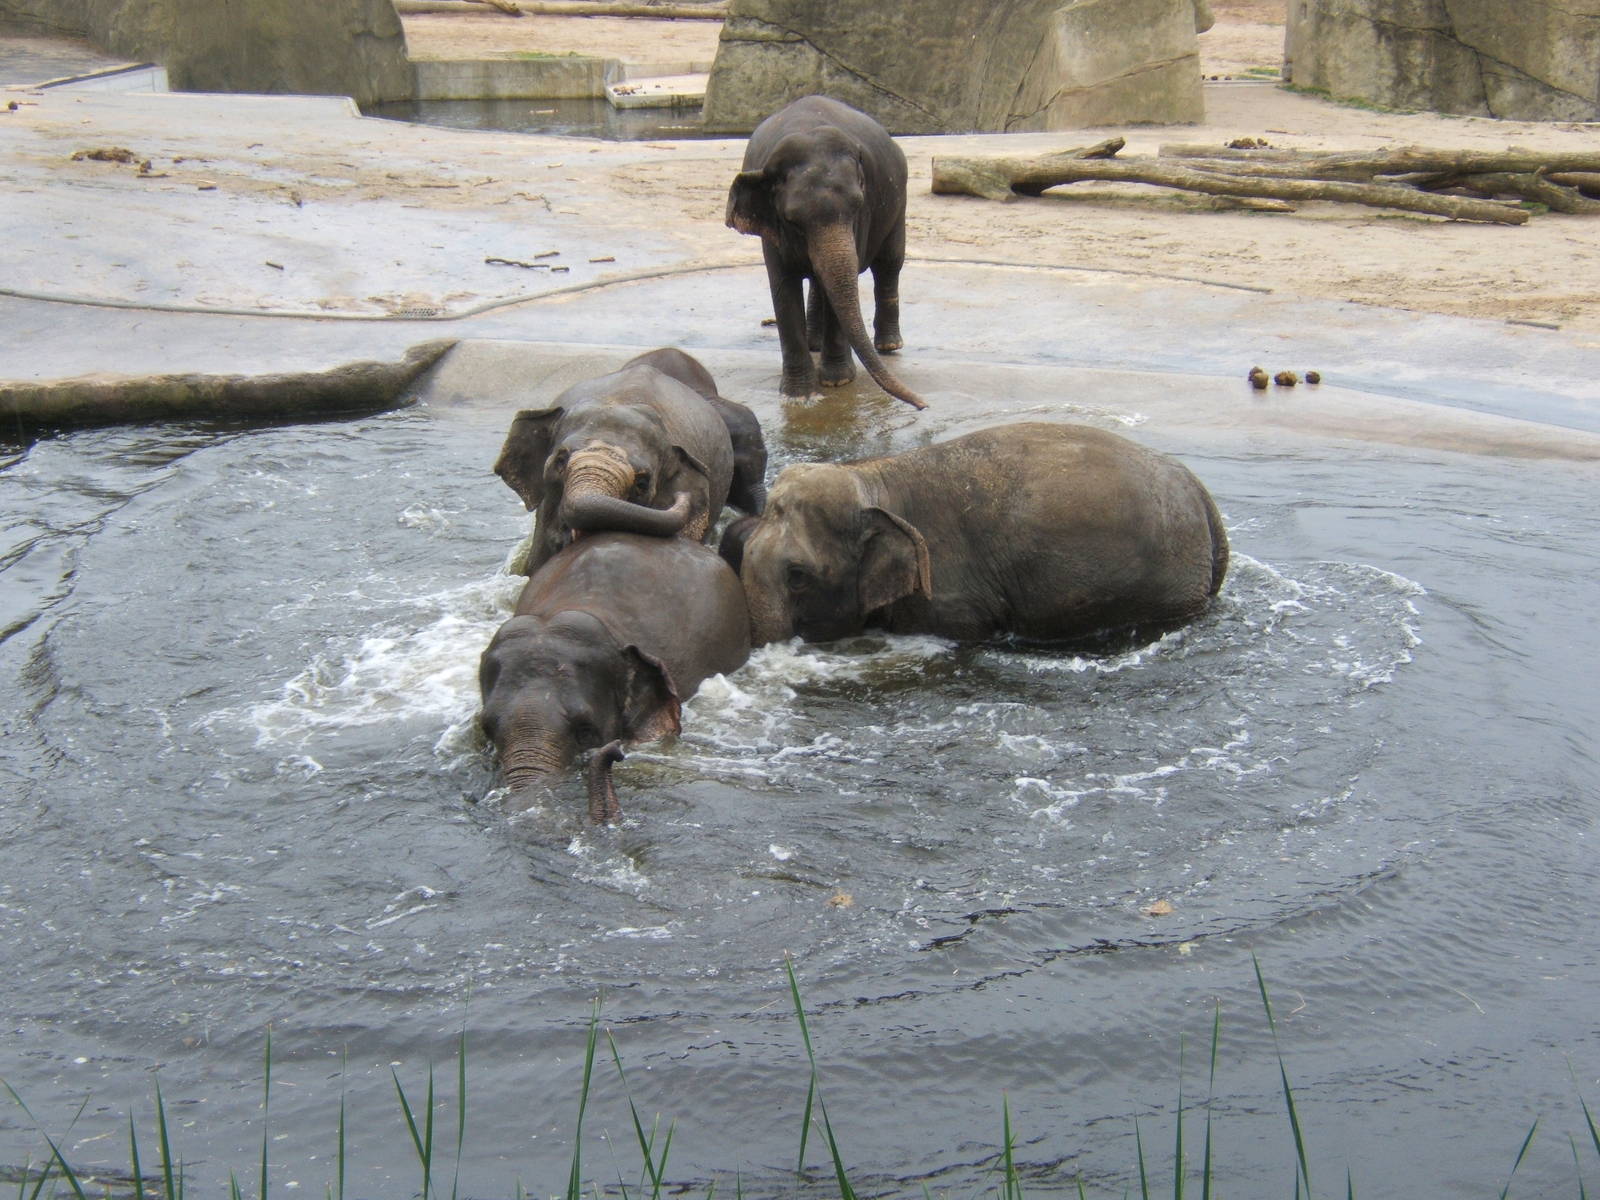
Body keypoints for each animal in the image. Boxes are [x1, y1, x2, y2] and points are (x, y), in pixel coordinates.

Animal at [726, 95, 927, 411]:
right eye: (792, 220)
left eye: (857, 206)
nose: (922, 405)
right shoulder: (771, 229)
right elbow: (783, 288)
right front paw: (799, 396)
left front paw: (837, 382)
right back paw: (814, 344)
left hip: (899, 202)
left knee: (889, 263)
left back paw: (889, 345)